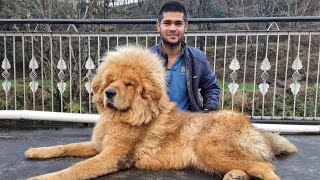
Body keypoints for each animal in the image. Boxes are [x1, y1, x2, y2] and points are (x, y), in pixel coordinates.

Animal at [25, 47, 298, 179]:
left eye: (130, 84)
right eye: (111, 80)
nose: (109, 93)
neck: (122, 116)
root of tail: (252, 127)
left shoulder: (113, 156)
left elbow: (74, 170)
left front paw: (40, 179)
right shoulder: (98, 146)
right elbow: (64, 147)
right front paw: (36, 151)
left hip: (207, 146)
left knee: (264, 166)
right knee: (253, 165)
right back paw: (234, 176)